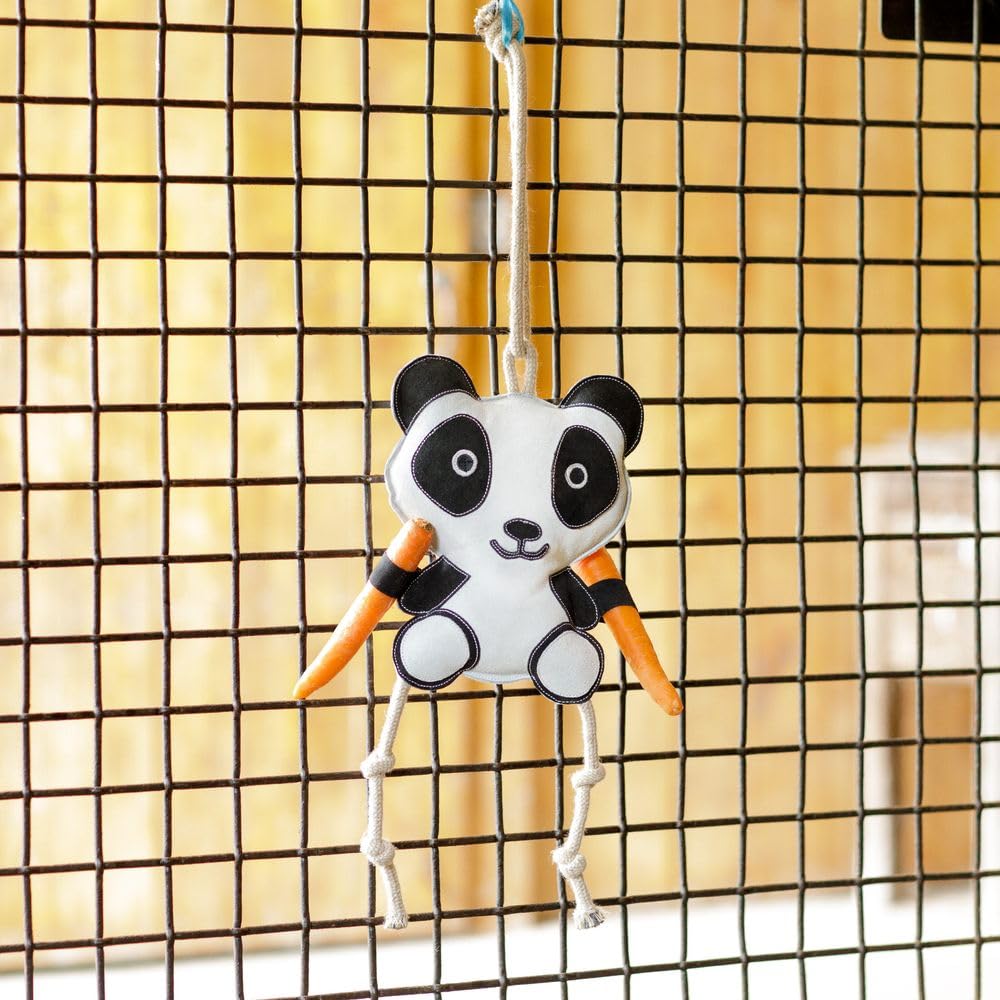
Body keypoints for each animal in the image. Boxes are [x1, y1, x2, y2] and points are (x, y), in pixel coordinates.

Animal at [385, 354, 644, 705]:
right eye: (463, 463)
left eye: (577, 476)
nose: (523, 528)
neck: (510, 577)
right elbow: (418, 593)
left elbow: (587, 610)